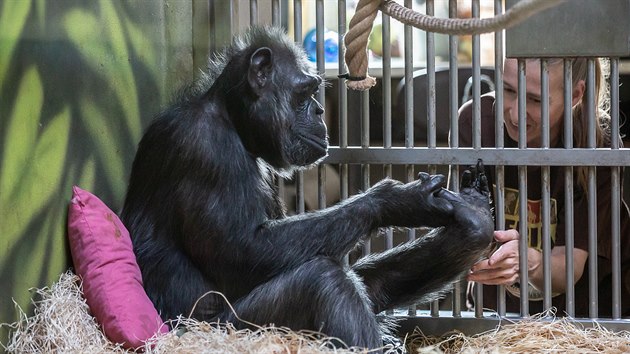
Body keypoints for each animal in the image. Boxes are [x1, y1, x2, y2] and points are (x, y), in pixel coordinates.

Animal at [121, 26, 496, 350]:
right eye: (304, 92)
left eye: (314, 93)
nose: (318, 111)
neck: (235, 124)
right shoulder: (205, 150)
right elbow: (241, 250)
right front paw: (395, 201)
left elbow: (365, 282)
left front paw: (472, 222)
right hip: (232, 330)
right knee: (322, 280)